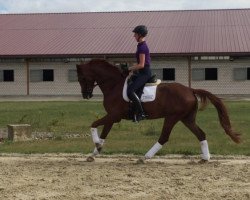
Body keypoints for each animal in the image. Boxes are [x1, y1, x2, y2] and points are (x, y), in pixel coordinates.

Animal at [76, 59, 240, 162]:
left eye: (82, 78)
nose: (86, 95)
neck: (114, 85)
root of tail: (190, 90)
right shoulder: (112, 116)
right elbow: (104, 133)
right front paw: (95, 152)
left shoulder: (114, 115)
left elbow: (93, 125)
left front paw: (97, 145)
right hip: (187, 118)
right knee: (201, 134)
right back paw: (205, 158)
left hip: (172, 117)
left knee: (164, 137)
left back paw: (145, 157)